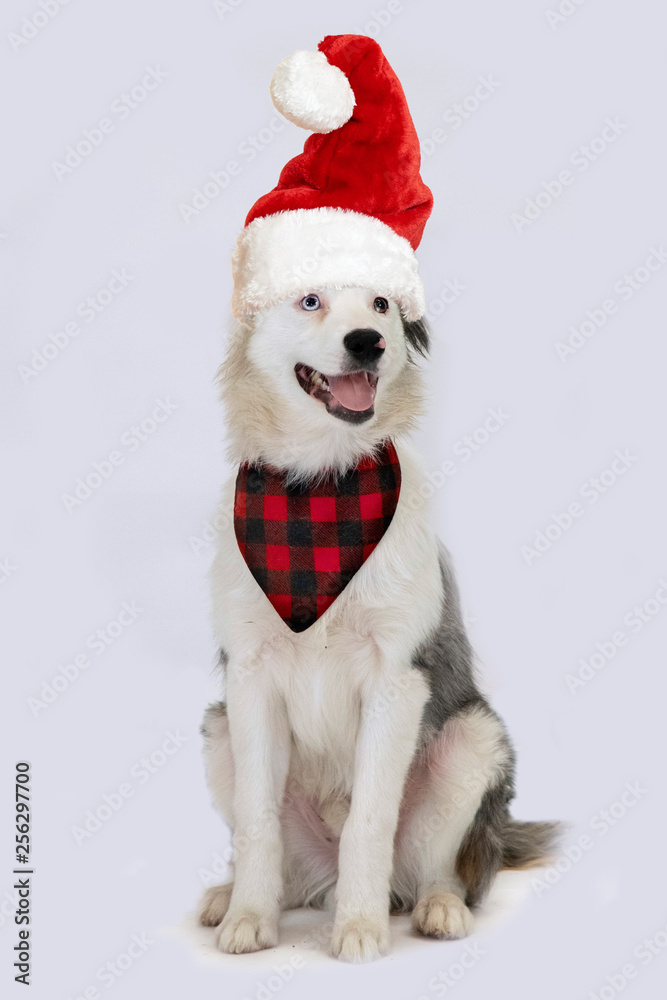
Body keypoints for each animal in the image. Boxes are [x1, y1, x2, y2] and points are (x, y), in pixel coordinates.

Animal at [197, 284, 560, 960]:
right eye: (310, 299)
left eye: (382, 303)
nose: (368, 341)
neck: (321, 485)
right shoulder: (249, 678)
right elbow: (257, 820)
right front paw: (248, 919)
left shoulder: (397, 679)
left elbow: (369, 819)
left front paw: (360, 930)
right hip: (218, 730)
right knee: (287, 868)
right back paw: (230, 898)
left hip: (474, 740)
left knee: (443, 870)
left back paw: (437, 908)